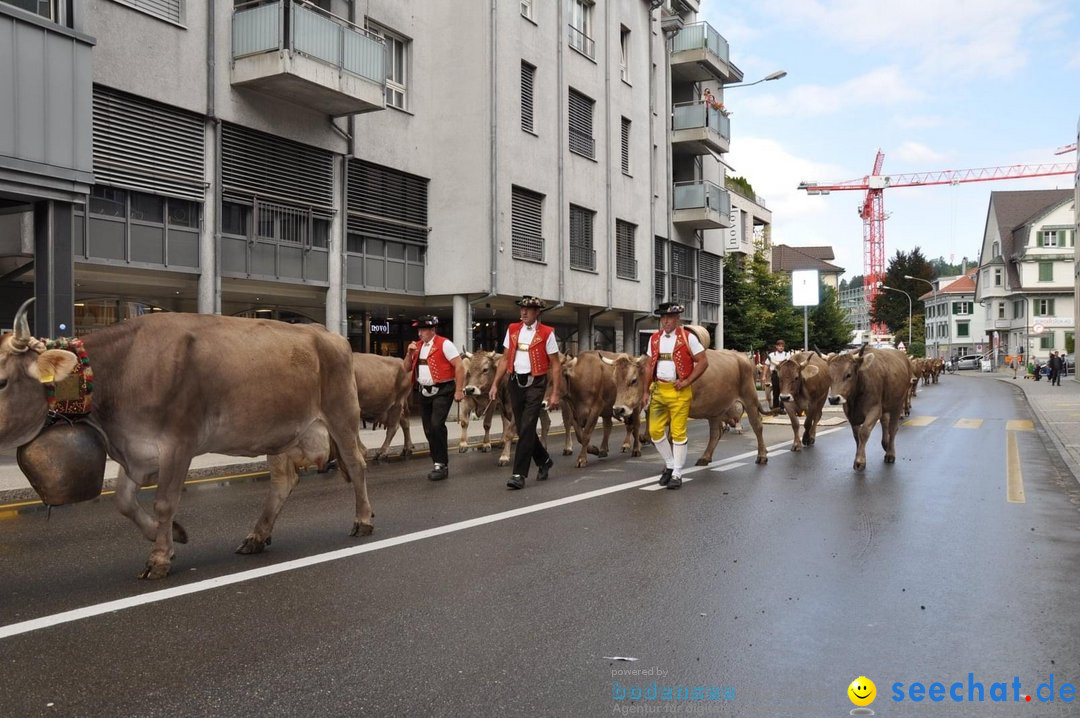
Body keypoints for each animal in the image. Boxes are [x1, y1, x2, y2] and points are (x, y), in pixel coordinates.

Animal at [0, 300, 373, 578]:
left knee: (356, 464)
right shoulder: (136, 448)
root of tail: (326, 333)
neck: (124, 368)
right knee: (283, 480)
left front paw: (159, 558)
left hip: (342, 413)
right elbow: (123, 502)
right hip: (282, 430)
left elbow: (164, 502)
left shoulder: (178, 443)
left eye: (2, 381)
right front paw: (171, 535)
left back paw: (363, 521)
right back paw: (257, 536)